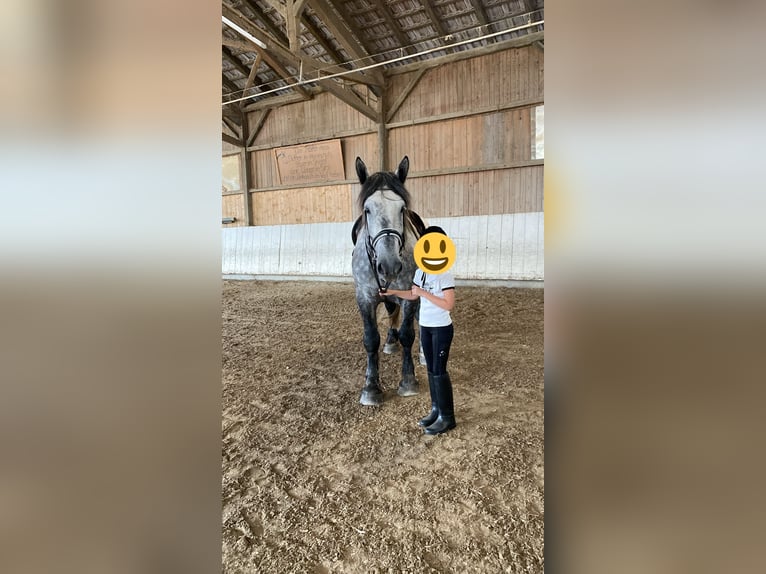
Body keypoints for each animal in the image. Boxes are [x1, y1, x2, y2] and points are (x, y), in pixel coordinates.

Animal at [352, 155, 428, 408]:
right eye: (367, 210)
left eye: (402, 208)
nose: (390, 265)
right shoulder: (365, 297)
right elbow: (370, 339)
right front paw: (371, 387)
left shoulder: (411, 295)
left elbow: (408, 334)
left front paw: (408, 381)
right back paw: (390, 341)